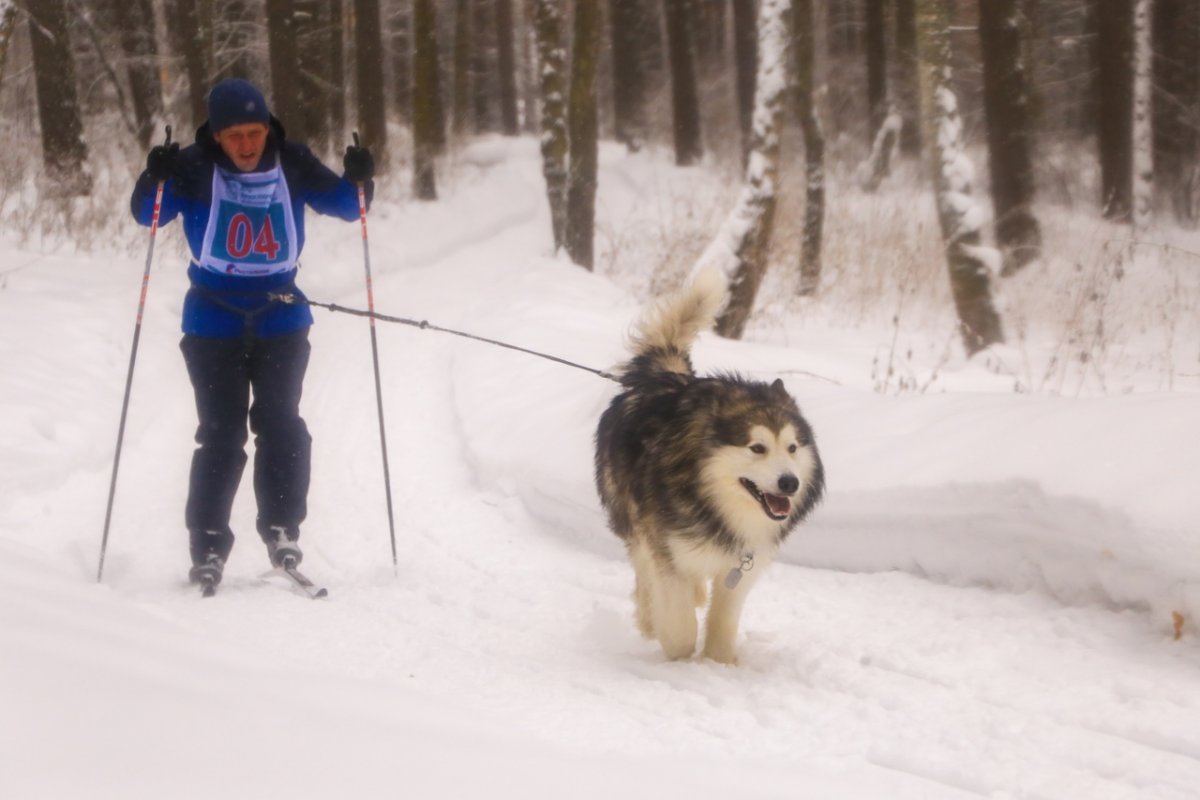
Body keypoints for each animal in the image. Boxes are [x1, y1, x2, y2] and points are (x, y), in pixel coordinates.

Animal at [592, 268, 820, 662]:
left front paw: (720, 661)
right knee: (643, 570)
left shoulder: (741, 567)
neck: (711, 500)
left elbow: (723, 620)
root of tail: (663, 376)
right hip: (632, 516)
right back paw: (650, 618)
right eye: (757, 447)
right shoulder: (668, 551)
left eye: (792, 448)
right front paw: (678, 655)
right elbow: (680, 625)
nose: (790, 483)